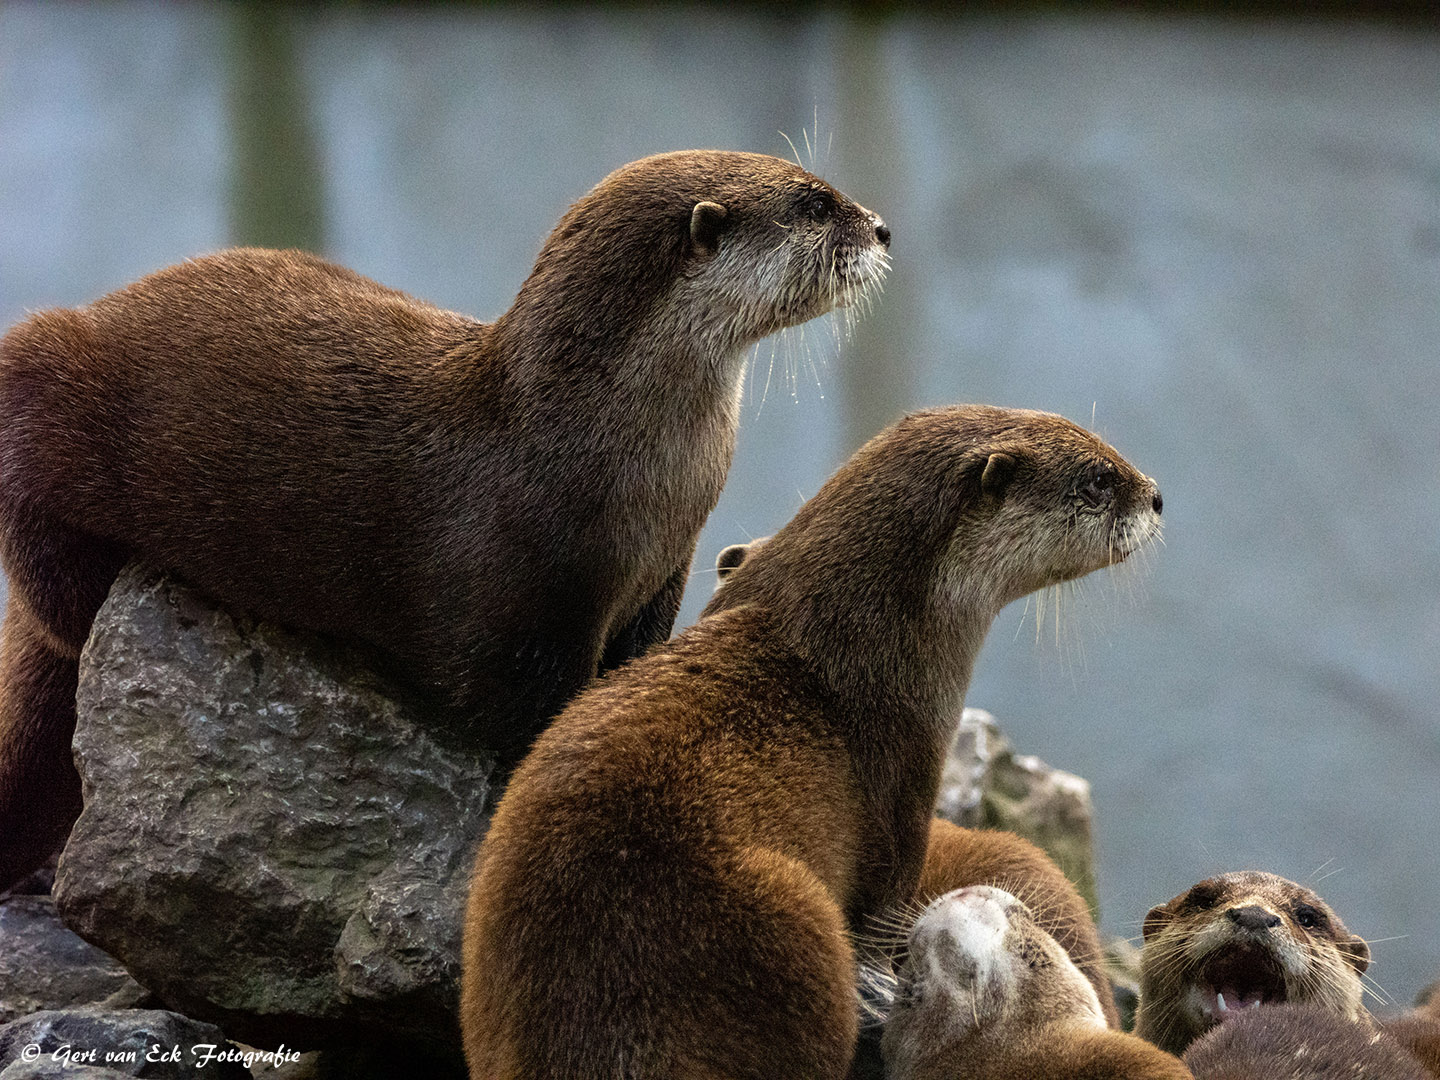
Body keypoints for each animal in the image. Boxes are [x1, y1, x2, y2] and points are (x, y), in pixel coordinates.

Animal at [0, 150, 890, 889]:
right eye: (814, 203)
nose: (882, 227)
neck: (590, 446)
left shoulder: (665, 570)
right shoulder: (522, 610)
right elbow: (522, 706)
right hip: (45, 369)